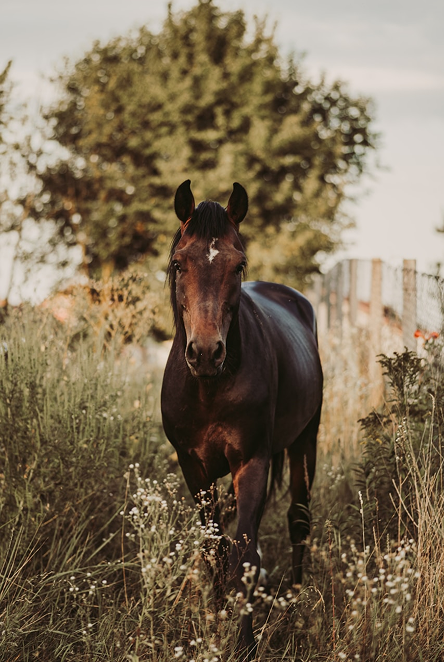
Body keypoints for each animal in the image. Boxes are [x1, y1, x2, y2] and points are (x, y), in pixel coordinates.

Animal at [161, 180, 323, 656]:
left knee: (299, 520)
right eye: (178, 263)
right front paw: (216, 621)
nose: (205, 352)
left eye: (239, 265)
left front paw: (245, 643)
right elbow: (214, 549)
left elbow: (245, 555)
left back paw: (294, 603)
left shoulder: (251, 462)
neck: (210, 387)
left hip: (305, 441)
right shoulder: (193, 468)